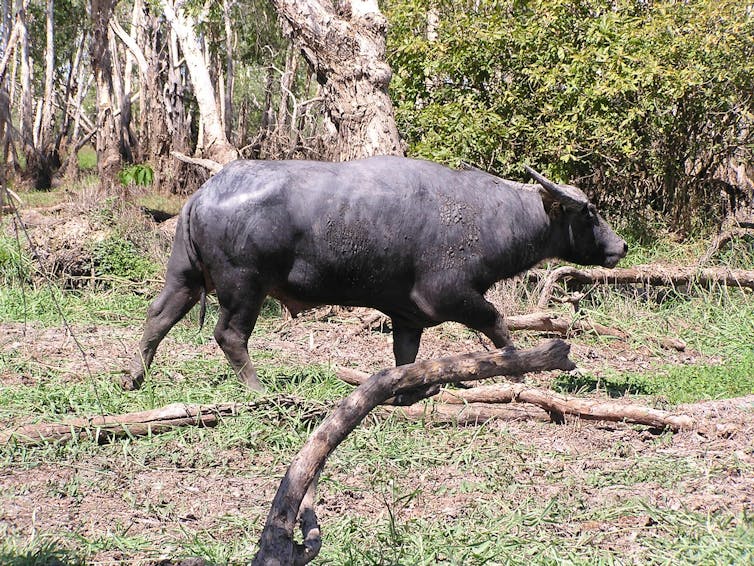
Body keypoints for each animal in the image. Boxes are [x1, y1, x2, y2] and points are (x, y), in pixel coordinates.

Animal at [126, 155, 624, 394]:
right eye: (589, 212)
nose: (620, 246)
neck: (490, 216)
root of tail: (203, 193)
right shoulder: (452, 295)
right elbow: (498, 325)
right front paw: (518, 373)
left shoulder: (407, 317)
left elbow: (406, 356)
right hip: (244, 286)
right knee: (229, 334)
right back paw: (256, 386)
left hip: (184, 276)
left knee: (157, 315)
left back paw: (135, 376)